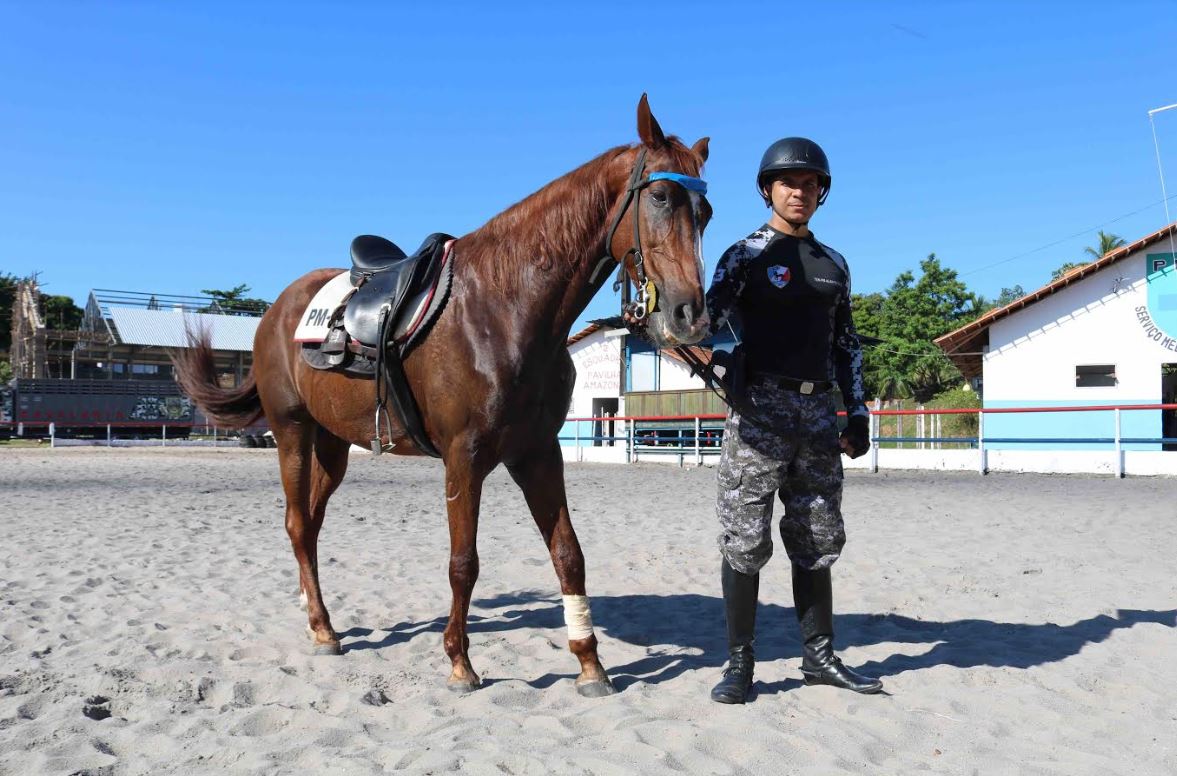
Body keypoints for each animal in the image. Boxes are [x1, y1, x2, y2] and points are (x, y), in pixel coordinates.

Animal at [171, 95, 706, 697]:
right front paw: (459, 662)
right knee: (296, 522)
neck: (505, 306)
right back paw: (323, 630)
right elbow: (463, 562)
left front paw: (590, 664)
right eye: (659, 197)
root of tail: (277, 309)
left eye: (705, 212)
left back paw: (318, 617)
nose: (689, 314)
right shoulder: (464, 457)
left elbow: (568, 554)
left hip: (333, 444)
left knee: (310, 524)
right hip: (291, 431)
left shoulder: (539, 454)